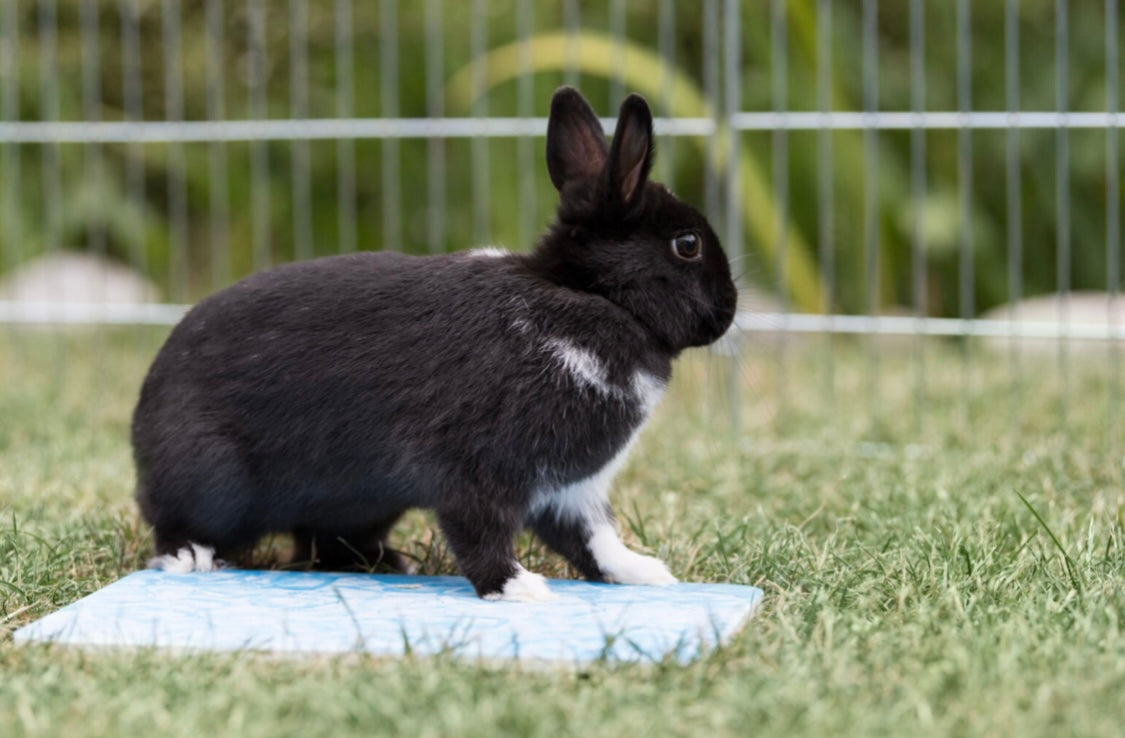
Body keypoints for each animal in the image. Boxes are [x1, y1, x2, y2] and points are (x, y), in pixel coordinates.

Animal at [132, 86, 738, 602]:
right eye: (687, 245)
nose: (729, 309)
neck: (590, 296)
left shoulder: (572, 490)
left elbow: (595, 540)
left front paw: (645, 573)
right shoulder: (476, 471)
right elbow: (481, 531)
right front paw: (518, 589)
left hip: (360, 502)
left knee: (321, 542)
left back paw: (389, 563)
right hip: (212, 479)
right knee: (177, 526)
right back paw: (191, 557)